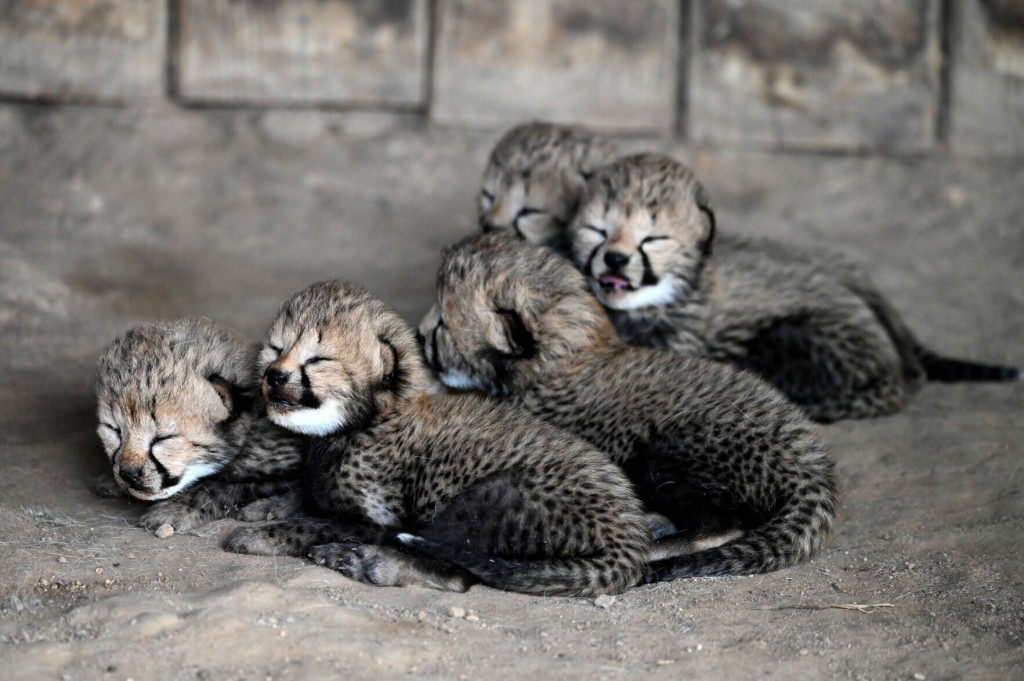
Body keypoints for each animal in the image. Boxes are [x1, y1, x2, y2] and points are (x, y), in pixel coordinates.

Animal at [94, 318, 305, 533]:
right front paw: (112, 479)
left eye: (163, 438)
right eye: (114, 430)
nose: (128, 474)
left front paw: (175, 510)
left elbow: (219, 487)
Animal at [222, 280, 653, 597]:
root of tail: (629, 526)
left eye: (317, 360)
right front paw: (268, 505)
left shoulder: (384, 521)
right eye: (276, 349)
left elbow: (317, 523)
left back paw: (368, 562)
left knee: (455, 571)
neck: (359, 425)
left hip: (489, 499)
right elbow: (305, 497)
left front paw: (260, 536)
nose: (274, 376)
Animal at [420, 232, 838, 581]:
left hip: (666, 453)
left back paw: (651, 544)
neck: (574, 352)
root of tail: (812, 460)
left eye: (442, 326)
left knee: (722, 527)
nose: (423, 334)